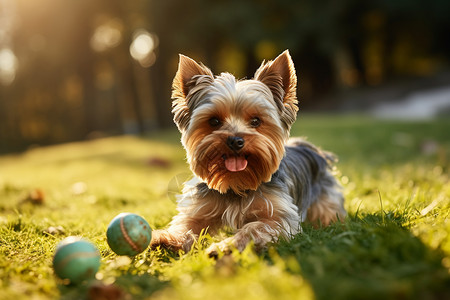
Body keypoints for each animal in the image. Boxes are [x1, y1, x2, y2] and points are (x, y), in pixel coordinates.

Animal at [150, 49, 344, 255]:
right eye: (214, 121)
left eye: (256, 121)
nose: (235, 140)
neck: (237, 183)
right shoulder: (199, 208)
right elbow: (186, 225)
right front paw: (165, 239)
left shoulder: (279, 217)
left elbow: (253, 228)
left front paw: (223, 247)